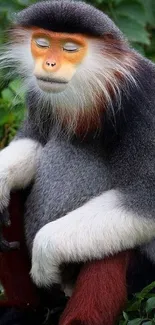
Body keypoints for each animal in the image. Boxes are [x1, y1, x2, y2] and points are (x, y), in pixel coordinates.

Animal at [0, 0, 155, 322]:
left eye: (70, 48)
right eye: (42, 43)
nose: (49, 64)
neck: (94, 93)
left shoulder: (146, 103)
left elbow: (145, 201)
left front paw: (45, 254)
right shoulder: (38, 96)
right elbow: (34, 142)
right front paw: (0, 181)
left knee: (109, 251)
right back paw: (23, 310)